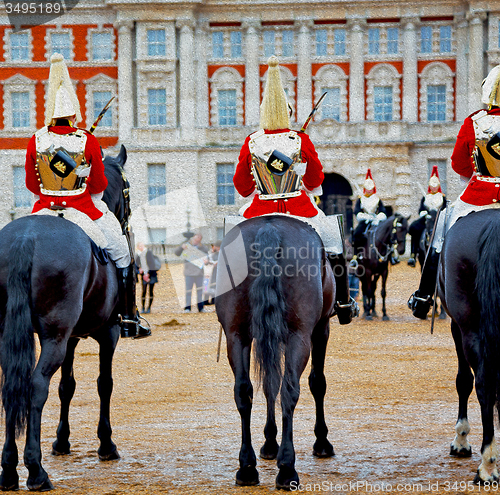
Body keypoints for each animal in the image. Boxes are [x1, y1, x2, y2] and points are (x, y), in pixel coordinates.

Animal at [0, 144, 131, 492]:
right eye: (127, 189)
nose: (126, 219)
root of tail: (26, 237)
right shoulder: (108, 332)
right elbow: (104, 383)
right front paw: (106, 444)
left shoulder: (71, 336)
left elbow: (67, 386)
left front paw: (61, 441)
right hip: (55, 337)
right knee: (35, 386)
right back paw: (35, 471)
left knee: (12, 387)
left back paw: (9, 470)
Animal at [215, 215, 336, 490]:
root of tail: (268, 227)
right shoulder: (320, 329)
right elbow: (317, 383)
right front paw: (321, 441)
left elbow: (269, 384)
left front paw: (270, 442)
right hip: (299, 337)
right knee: (290, 390)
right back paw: (287, 469)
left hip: (237, 335)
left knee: (244, 391)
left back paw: (247, 467)